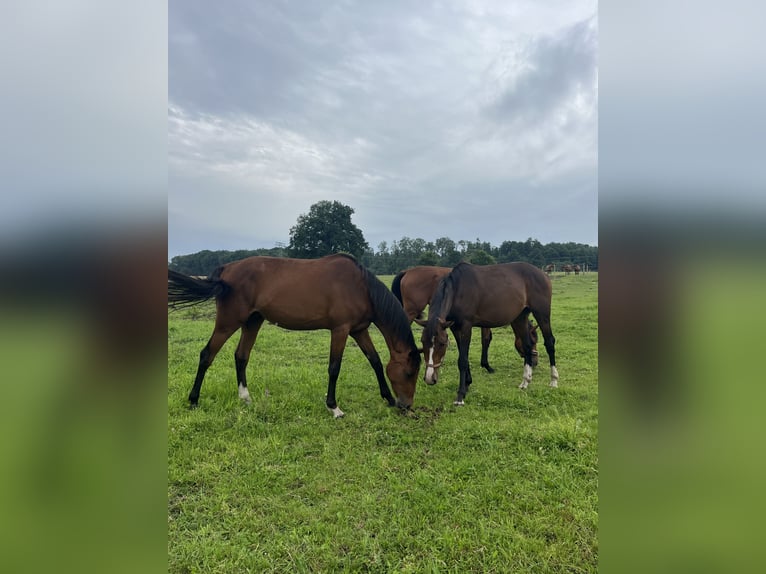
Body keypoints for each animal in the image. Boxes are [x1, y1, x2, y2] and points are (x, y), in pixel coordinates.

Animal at [168, 254, 421, 418]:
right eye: (409, 373)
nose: (406, 406)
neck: (361, 287)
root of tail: (226, 269)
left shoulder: (359, 330)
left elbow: (375, 361)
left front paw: (388, 398)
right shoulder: (340, 330)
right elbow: (334, 368)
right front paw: (334, 407)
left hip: (253, 321)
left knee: (241, 356)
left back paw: (245, 397)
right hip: (228, 322)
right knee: (207, 355)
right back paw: (193, 400)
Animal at [420, 261, 558, 406]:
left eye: (442, 344)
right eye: (422, 342)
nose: (429, 378)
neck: (457, 289)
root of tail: (543, 274)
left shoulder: (466, 326)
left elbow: (462, 360)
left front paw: (460, 395)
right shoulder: (454, 328)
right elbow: (463, 356)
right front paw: (467, 384)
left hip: (541, 313)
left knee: (550, 342)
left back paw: (553, 380)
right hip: (520, 317)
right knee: (526, 345)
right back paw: (525, 381)